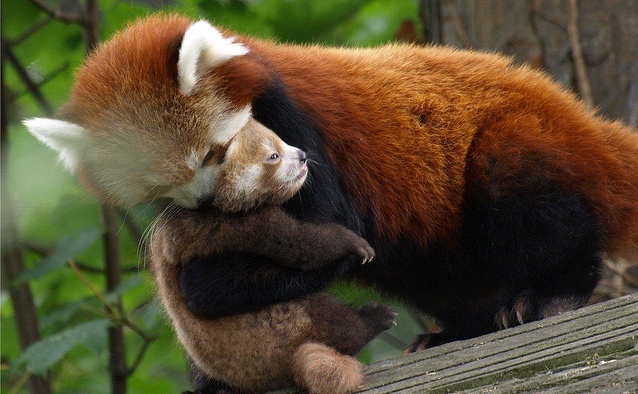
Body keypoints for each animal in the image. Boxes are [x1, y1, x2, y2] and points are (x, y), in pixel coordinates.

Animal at [152, 119, 398, 394]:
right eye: (273, 156)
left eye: (281, 140)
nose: (303, 155)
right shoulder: (237, 224)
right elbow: (299, 242)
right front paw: (349, 244)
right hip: (285, 329)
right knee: (332, 319)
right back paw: (372, 320)